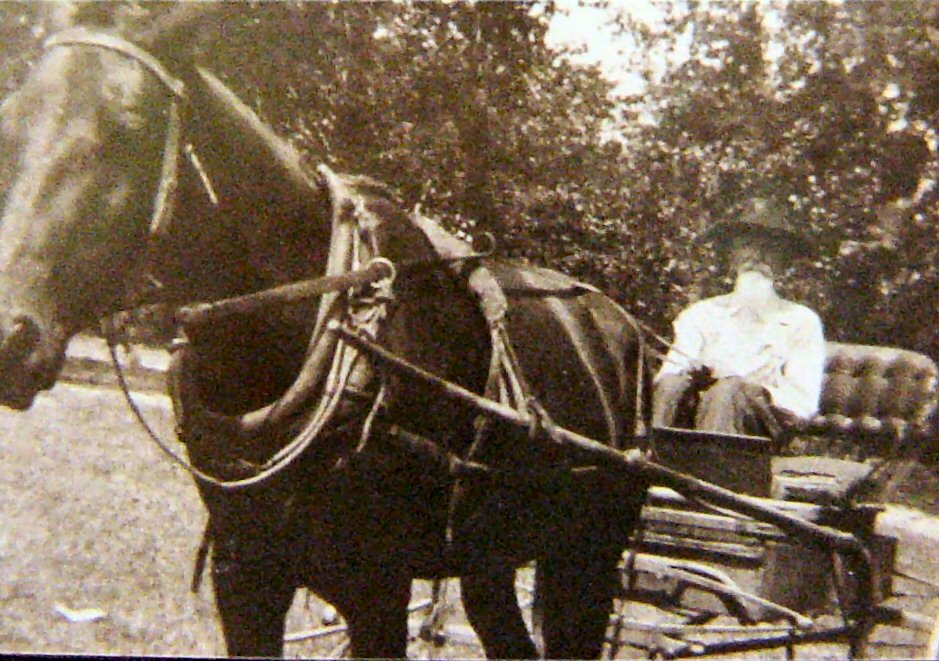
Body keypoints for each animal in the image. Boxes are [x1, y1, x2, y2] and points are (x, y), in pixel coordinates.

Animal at [0, 18, 648, 656]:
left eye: (130, 125)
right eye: (11, 119)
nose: (10, 336)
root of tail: (622, 329)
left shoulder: (377, 589)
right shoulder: (244, 576)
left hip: (585, 561)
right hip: (489, 559)